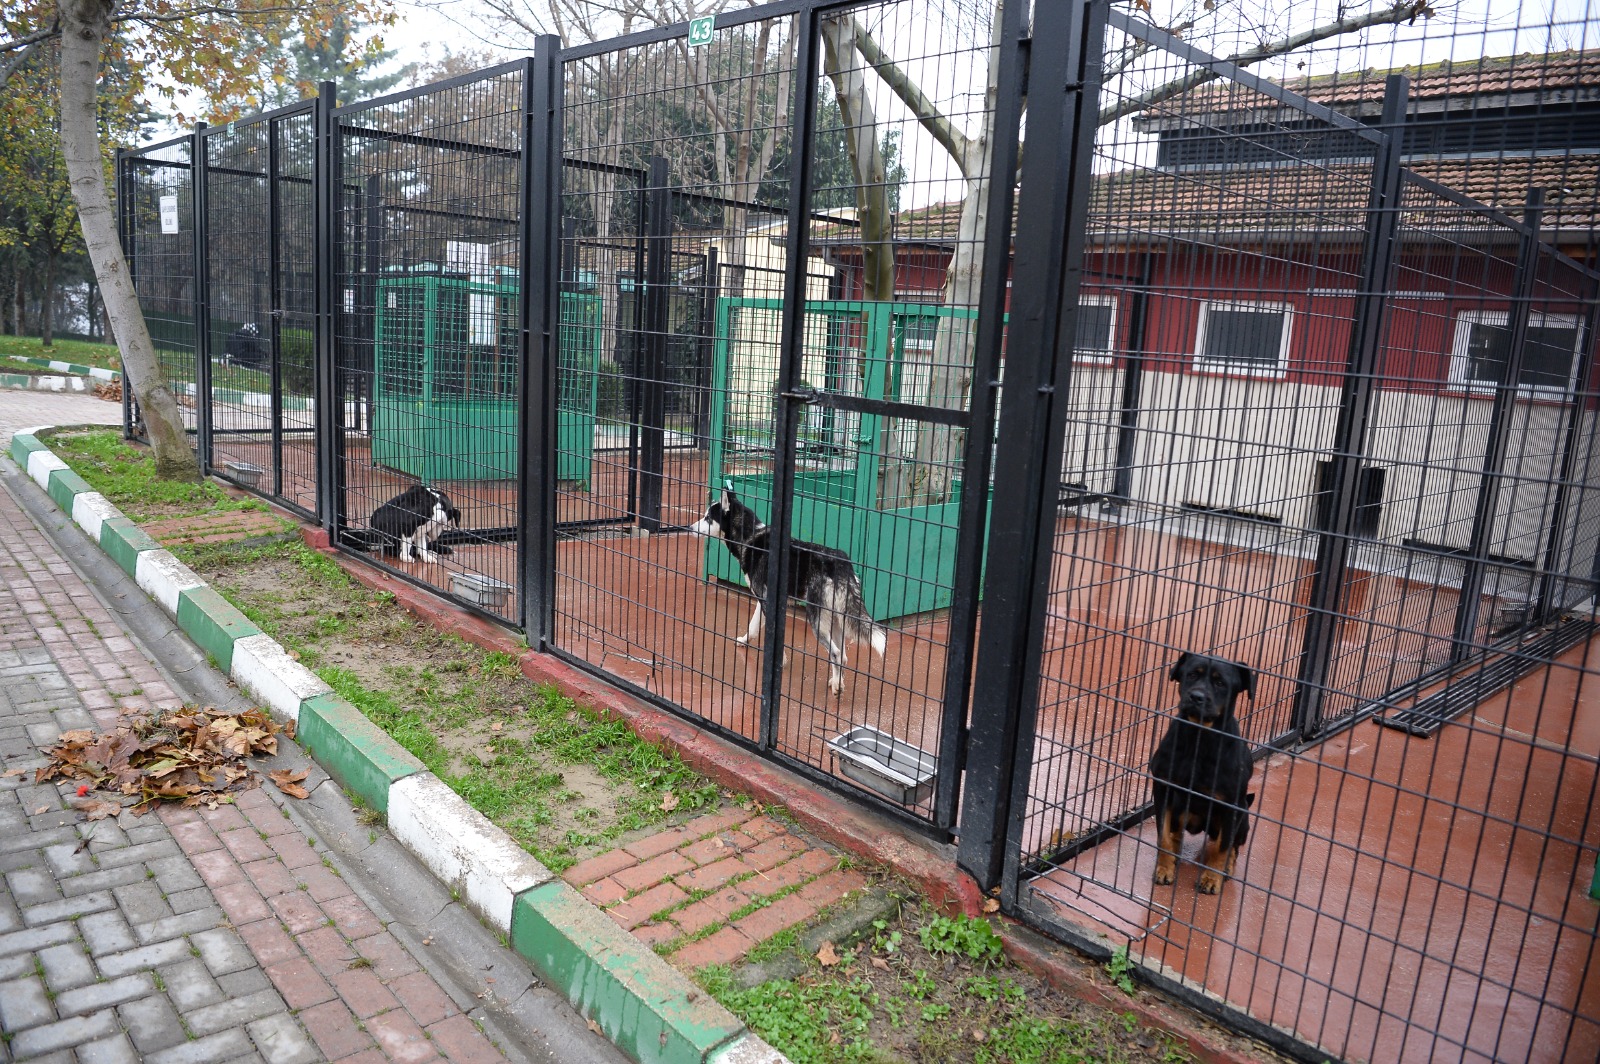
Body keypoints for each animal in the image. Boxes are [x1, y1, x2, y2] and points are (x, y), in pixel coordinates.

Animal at [688, 486, 889, 694]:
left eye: (708, 518)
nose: (690, 528)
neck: (750, 537)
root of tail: (842, 563)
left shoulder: (766, 601)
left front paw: (780, 661)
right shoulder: (765, 600)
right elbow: (753, 627)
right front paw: (744, 641)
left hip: (818, 622)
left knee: (836, 653)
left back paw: (837, 688)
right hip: (835, 620)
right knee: (843, 655)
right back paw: (837, 682)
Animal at [1158, 652, 1254, 889]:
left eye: (1221, 683)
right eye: (1192, 675)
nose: (1196, 697)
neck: (1199, 739)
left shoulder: (1231, 805)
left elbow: (1222, 847)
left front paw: (1212, 878)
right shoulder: (1163, 786)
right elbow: (1163, 837)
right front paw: (1164, 868)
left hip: (1244, 813)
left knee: (1232, 846)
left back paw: (1226, 867)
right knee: (1175, 832)